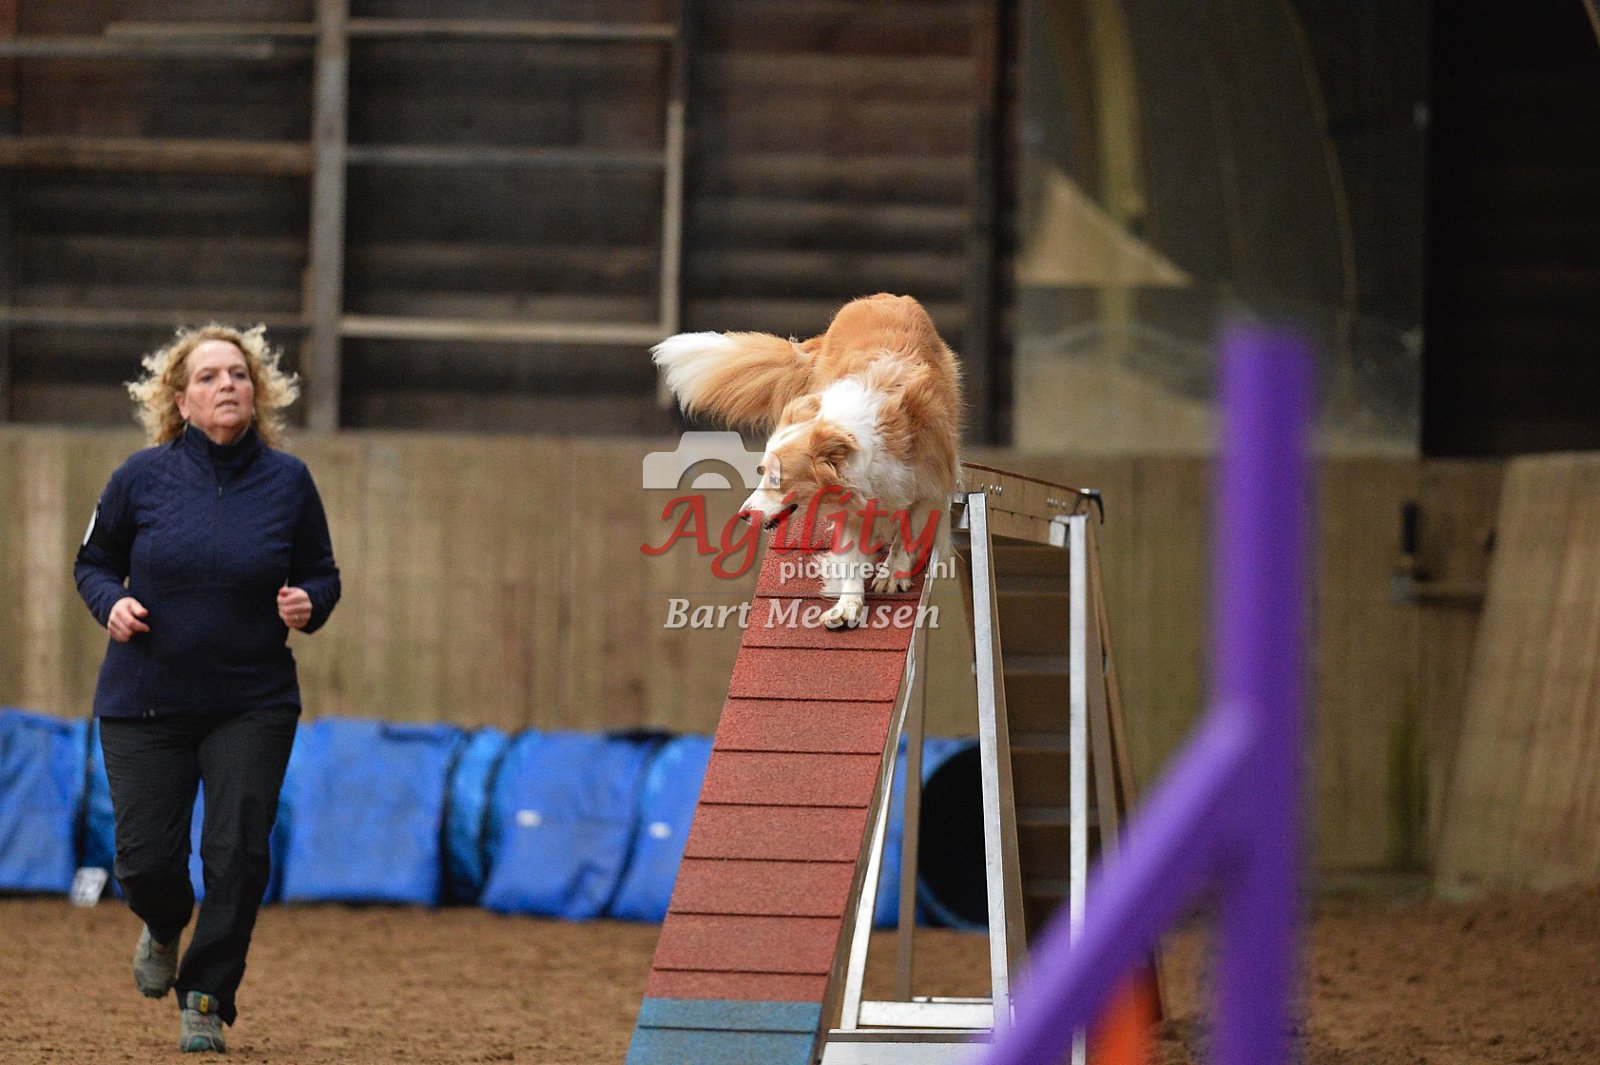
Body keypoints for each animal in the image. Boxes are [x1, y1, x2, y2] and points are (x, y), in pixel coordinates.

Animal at [652, 293, 962, 628]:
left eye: (777, 478)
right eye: (761, 471)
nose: (743, 515)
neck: (851, 436)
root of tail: (884, 296)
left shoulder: (930, 483)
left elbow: (910, 529)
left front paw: (893, 573)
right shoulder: (851, 505)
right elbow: (852, 556)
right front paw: (848, 605)